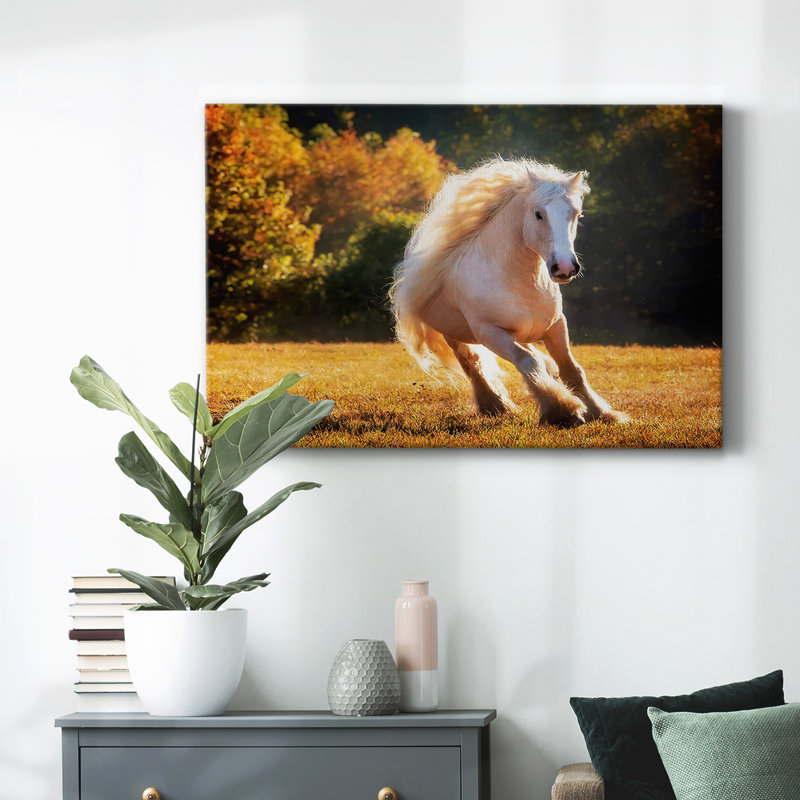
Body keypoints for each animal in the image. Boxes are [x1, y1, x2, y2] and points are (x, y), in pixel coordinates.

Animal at [390, 157, 627, 427]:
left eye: (576, 214)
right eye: (538, 214)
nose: (565, 267)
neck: (519, 281)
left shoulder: (556, 325)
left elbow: (570, 369)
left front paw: (601, 412)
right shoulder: (491, 333)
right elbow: (528, 362)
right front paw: (563, 410)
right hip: (453, 334)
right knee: (472, 363)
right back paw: (496, 405)